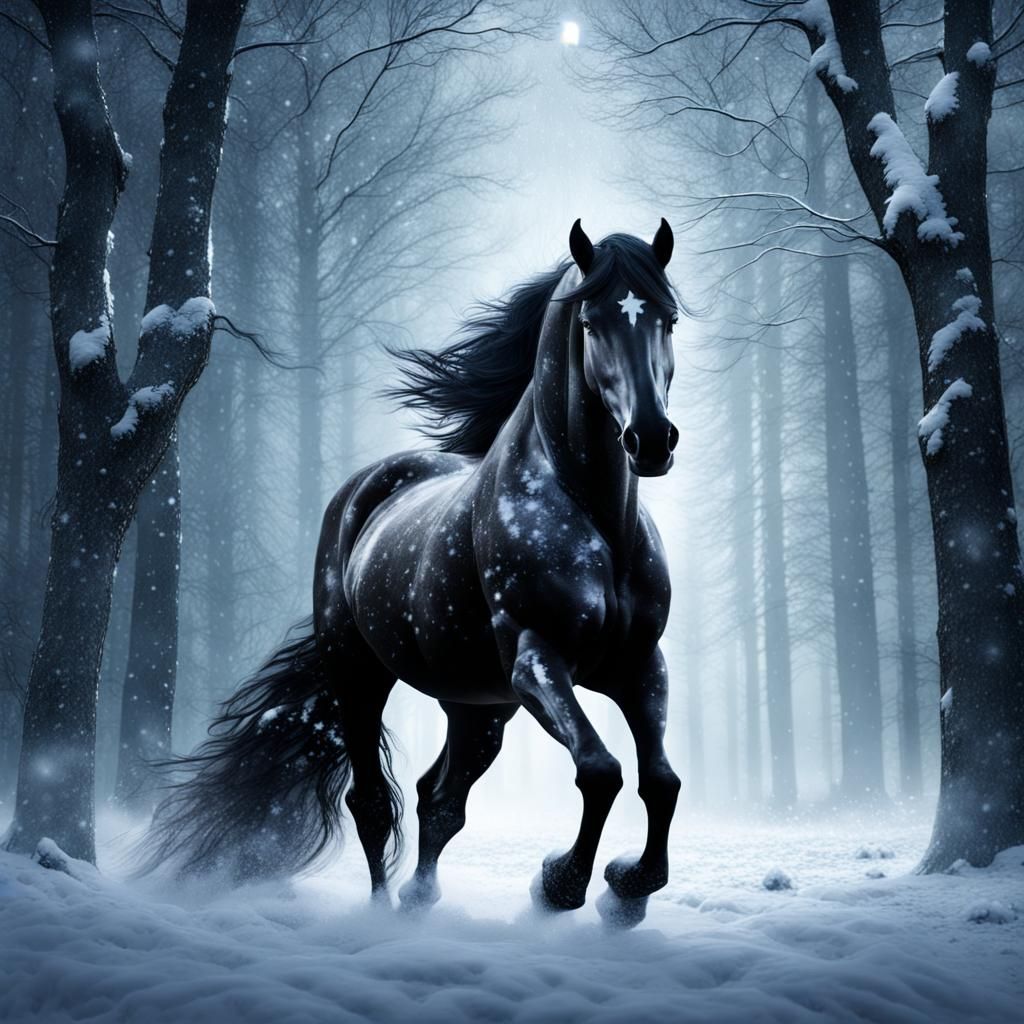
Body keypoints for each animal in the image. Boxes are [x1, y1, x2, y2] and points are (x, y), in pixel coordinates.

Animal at [139, 219, 683, 927]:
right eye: (592, 323)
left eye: (669, 319)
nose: (651, 440)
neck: (594, 518)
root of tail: (361, 492)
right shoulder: (539, 657)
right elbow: (601, 769)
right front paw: (560, 885)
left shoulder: (638, 664)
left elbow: (661, 781)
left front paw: (628, 889)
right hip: (361, 677)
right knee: (371, 803)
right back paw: (382, 913)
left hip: (481, 707)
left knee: (439, 798)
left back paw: (419, 900)